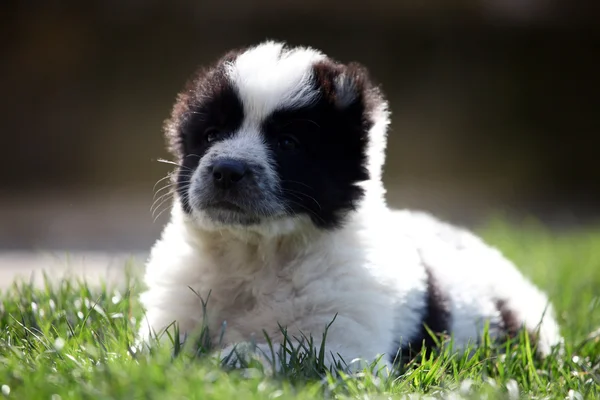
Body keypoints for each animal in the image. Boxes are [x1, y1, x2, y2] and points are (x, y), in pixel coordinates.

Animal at [138, 41, 564, 372]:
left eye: (288, 143)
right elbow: (153, 348)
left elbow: (278, 353)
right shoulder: (173, 314)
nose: (226, 170)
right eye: (211, 135)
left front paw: (225, 360)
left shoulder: (345, 346)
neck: (257, 255)